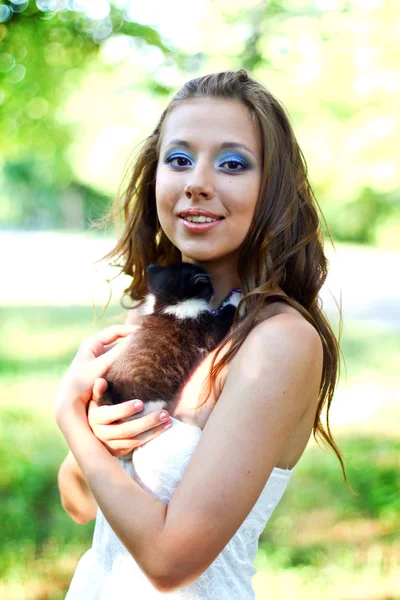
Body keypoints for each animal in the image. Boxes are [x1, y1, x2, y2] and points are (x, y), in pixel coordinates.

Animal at [98, 262, 239, 422]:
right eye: (209, 286)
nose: (214, 291)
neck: (166, 305)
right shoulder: (205, 329)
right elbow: (225, 316)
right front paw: (235, 298)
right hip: (149, 402)